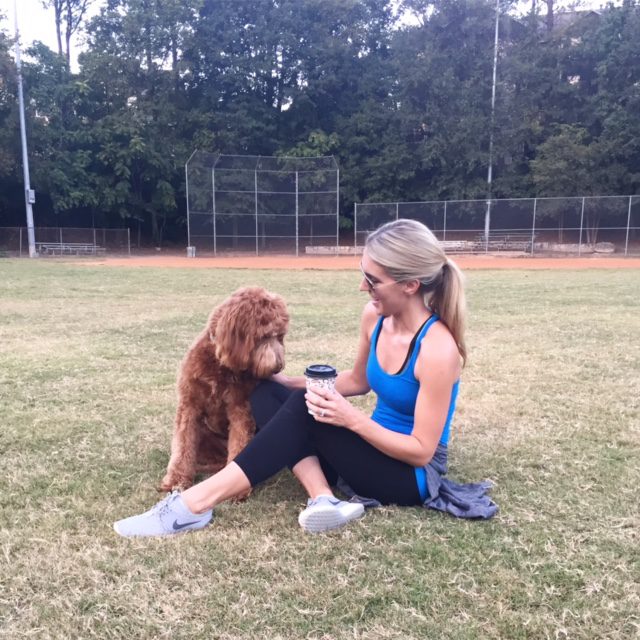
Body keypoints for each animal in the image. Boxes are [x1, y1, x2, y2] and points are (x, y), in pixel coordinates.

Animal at [160, 288, 290, 492]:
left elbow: (240, 443)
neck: (222, 366)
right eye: (265, 336)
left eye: (280, 336)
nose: (278, 367)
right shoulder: (189, 406)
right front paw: (176, 479)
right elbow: (183, 445)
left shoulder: (241, 410)